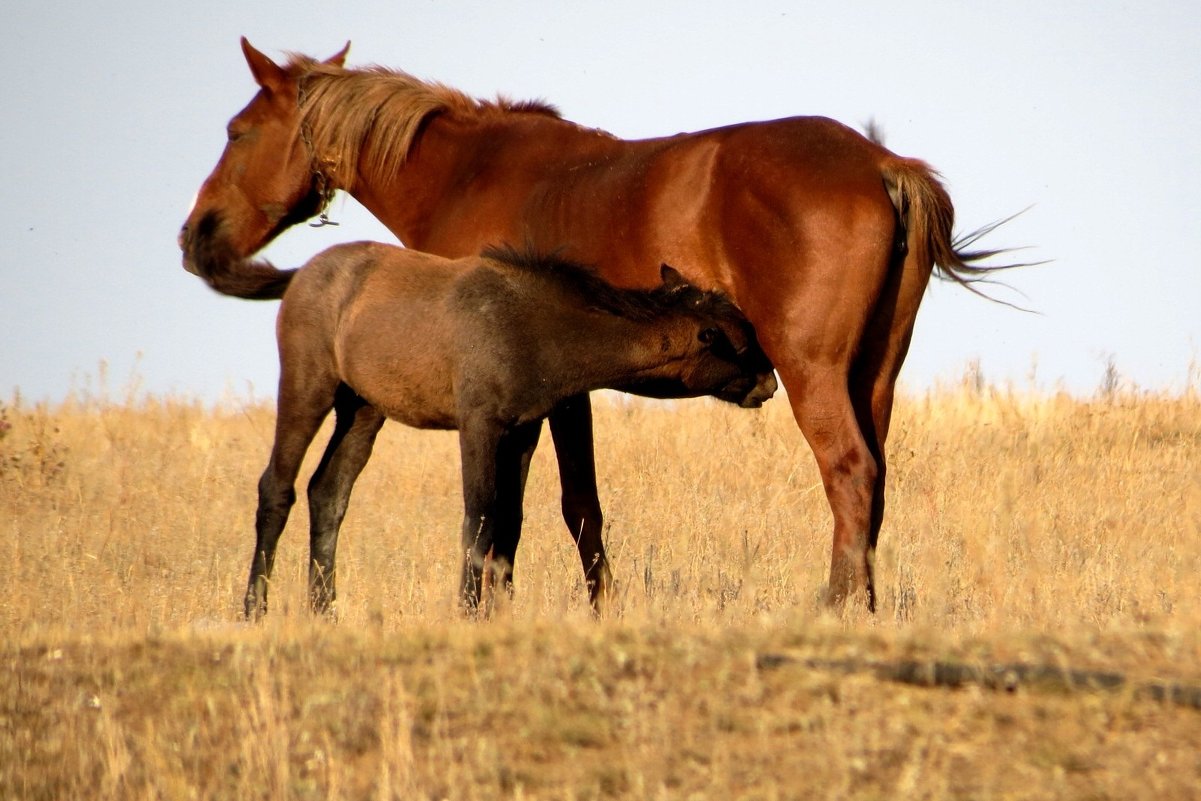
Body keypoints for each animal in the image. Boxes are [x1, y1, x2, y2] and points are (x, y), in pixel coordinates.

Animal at [189, 236, 768, 614]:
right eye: (738, 343)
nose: (769, 381)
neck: (539, 323)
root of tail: (304, 272)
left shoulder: (522, 432)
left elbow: (509, 525)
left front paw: (499, 610)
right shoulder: (480, 426)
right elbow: (481, 518)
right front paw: (469, 609)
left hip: (364, 409)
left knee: (327, 492)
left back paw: (325, 609)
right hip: (308, 387)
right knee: (277, 488)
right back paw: (255, 608)